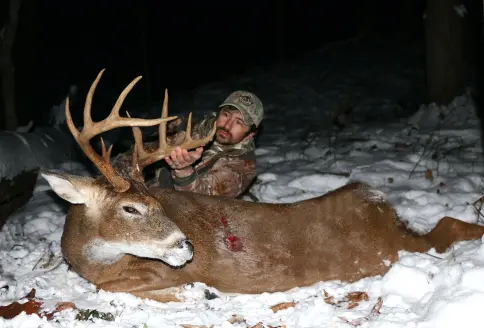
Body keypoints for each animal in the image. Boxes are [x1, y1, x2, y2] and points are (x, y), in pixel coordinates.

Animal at [40, 70, 484, 304]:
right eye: (131, 207)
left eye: (152, 202)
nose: (186, 247)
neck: (89, 255)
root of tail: (379, 203)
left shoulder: (151, 272)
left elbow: (118, 285)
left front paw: (195, 291)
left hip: (387, 249)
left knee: (444, 227)